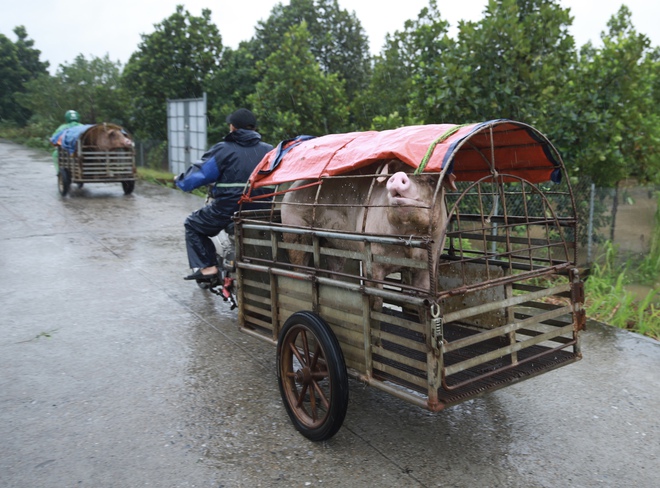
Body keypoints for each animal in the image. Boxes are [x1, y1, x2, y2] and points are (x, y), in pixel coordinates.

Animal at [278, 160, 454, 292]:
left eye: (431, 181)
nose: (399, 175)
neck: (408, 235)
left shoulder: (432, 256)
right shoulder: (372, 257)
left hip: (334, 243)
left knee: (334, 268)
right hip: (294, 227)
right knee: (298, 261)